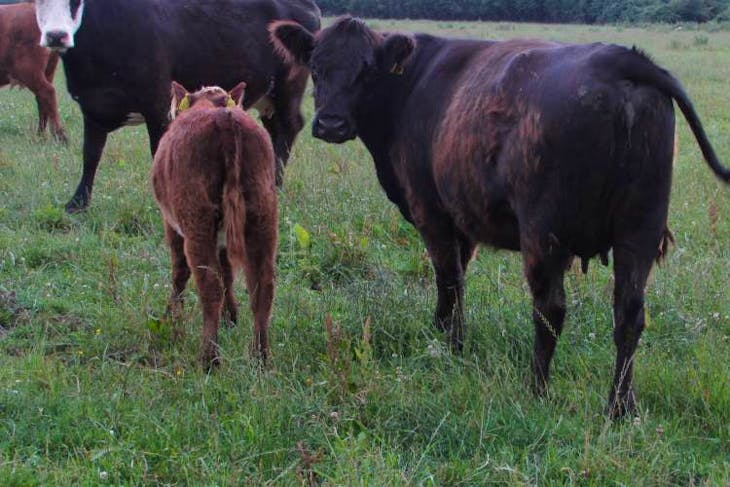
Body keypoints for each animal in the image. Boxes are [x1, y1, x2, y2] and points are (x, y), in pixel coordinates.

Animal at [0, 1, 66, 143]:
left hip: (29, 70)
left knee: (47, 92)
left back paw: (60, 136)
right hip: (48, 71)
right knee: (42, 99)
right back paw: (41, 135)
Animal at [34, 0, 318, 212]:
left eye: (76, 1)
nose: (56, 35)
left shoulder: (158, 104)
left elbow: (158, 151)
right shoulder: (92, 107)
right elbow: (91, 154)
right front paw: (78, 203)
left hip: (288, 88)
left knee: (289, 127)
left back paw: (276, 185)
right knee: (275, 130)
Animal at [152, 82, 278, 368]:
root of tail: (225, 118)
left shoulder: (170, 224)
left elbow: (180, 273)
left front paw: (170, 318)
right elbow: (227, 273)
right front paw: (230, 317)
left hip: (196, 221)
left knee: (208, 285)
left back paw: (209, 359)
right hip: (262, 217)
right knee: (262, 286)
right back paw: (260, 357)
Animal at [272, 17, 728, 418]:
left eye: (366, 70)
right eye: (316, 67)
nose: (331, 124)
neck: (410, 87)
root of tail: (621, 60)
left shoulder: (431, 211)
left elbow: (447, 277)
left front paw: (450, 344)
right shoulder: (464, 219)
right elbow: (457, 281)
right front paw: (446, 335)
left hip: (545, 233)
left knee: (550, 310)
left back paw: (537, 389)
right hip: (641, 229)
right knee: (629, 315)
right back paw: (619, 407)